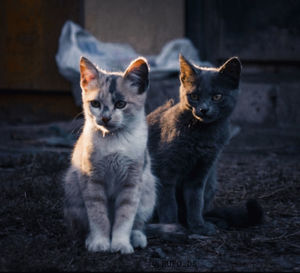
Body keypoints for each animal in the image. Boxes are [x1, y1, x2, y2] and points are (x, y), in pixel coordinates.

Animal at [63, 55, 157, 253]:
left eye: (121, 104)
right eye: (95, 104)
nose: (105, 118)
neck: (115, 142)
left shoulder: (132, 182)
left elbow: (125, 217)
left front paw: (121, 244)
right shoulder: (92, 180)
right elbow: (98, 216)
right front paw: (100, 242)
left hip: (148, 188)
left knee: (138, 222)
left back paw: (137, 237)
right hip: (73, 188)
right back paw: (89, 238)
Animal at [148, 54, 262, 234]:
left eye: (217, 96)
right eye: (194, 96)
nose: (204, 109)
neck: (201, 136)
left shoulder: (202, 171)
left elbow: (195, 201)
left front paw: (198, 226)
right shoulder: (165, 172)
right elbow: (168, 204)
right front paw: (170, 226)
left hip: (211, 182)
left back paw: (215, 222)